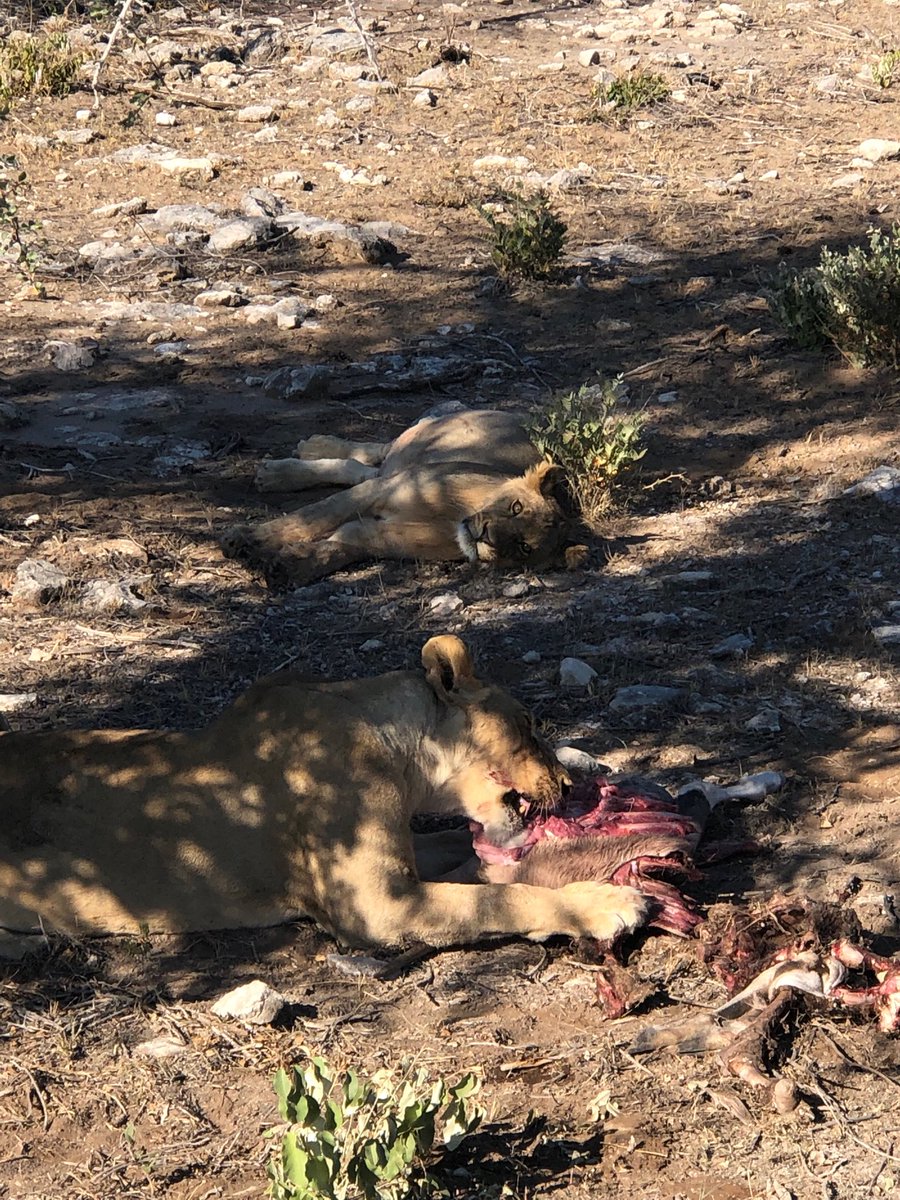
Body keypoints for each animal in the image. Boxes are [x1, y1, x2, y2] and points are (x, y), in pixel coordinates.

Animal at [0, 636, 645, 953]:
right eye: (529, 722)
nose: (570, 786)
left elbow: (461, 858)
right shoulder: (378, 905)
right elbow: (497, 902)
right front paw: (603, 903)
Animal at [220, 408, 587, 586]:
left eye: (524, 547)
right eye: (516, 507)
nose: (485, 536)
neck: (449, 517)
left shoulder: (378, 535)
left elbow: (337, 547)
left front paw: (289, 568)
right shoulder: (379, 492)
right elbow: (310, 517)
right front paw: (244, 539)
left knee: (362, 469)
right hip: (417, 441)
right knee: (370, 453)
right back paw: (298, 456)